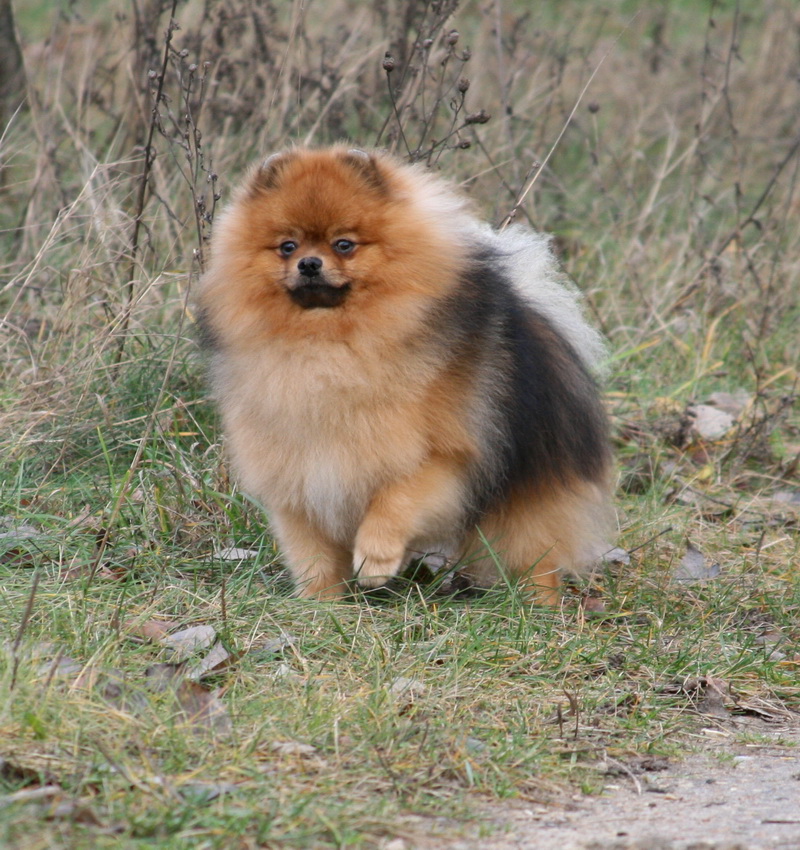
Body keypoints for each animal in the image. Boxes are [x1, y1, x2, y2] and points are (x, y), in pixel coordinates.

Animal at [195, 142, 612, 600]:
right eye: (287, 246)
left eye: (344, 244)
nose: (308, 263)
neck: (326, 347)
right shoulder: (297, 474)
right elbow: (311, 552)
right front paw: (320, 603)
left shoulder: (444, 458)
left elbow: (396, 501)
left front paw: (375, 559)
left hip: (528, 484)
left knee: (537, 555)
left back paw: (539, 603)